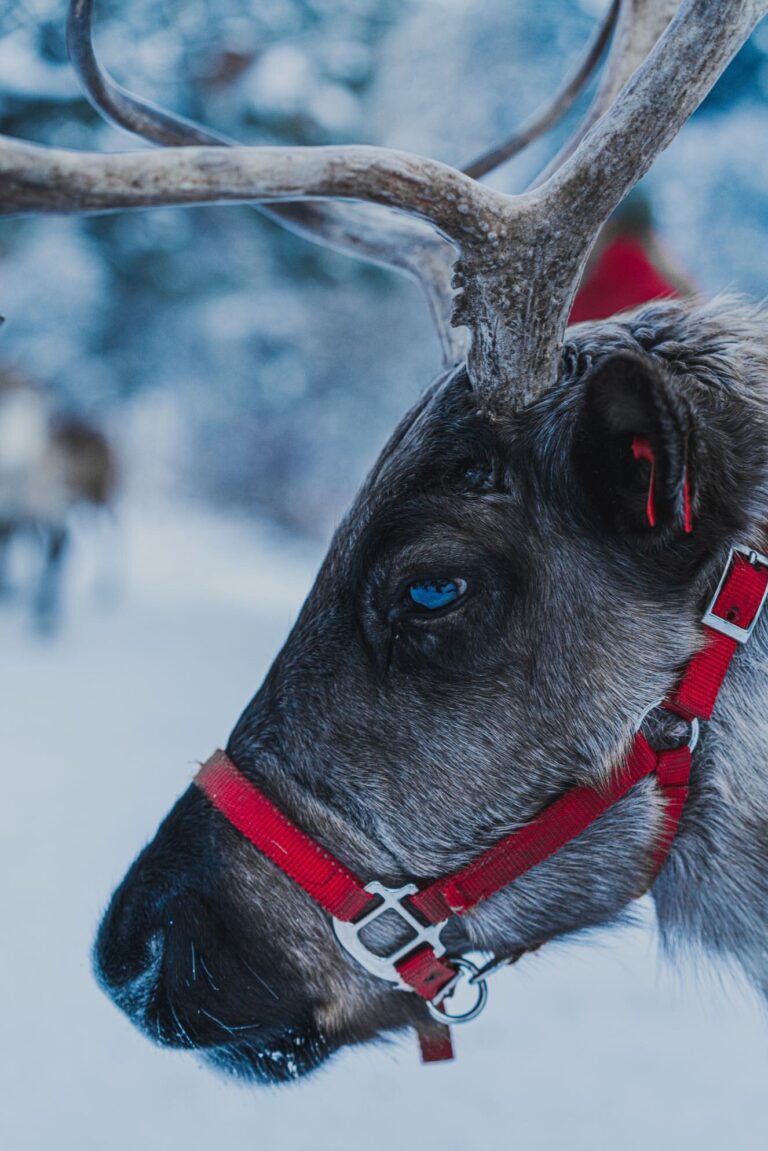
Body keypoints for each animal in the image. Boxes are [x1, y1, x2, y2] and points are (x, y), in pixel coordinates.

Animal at [0, 366, 116, 630]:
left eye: (24, 399)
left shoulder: (47, 504)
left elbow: (54, 546)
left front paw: (44, 617)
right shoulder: (13, 509)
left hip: (100, 494)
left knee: (108, 531)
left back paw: (107, 586)